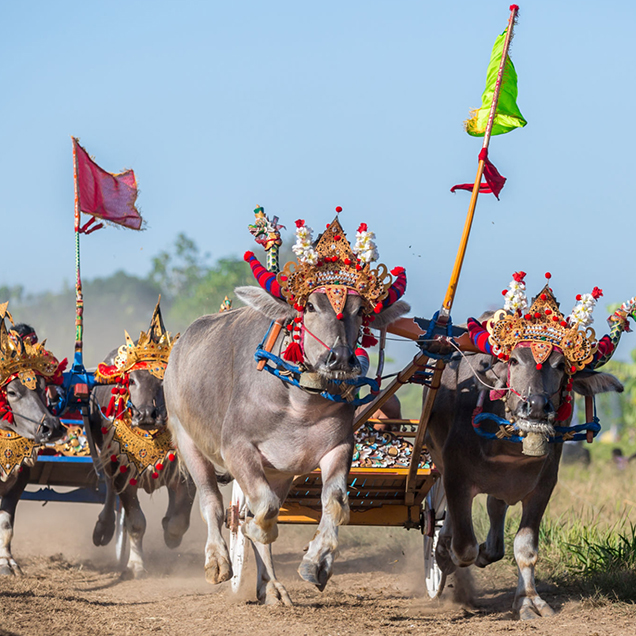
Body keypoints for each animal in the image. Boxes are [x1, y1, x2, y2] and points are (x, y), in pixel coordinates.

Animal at [424, 280, 628, 620]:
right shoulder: (455, 476)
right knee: (452, 522)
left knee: (495, 511)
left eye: (560, 366)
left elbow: (525, 547)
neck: (508, 446)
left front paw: (528, 601)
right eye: (514, 361)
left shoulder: (543, 485)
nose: (535, 406)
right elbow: (463, 546)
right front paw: (445, 556)